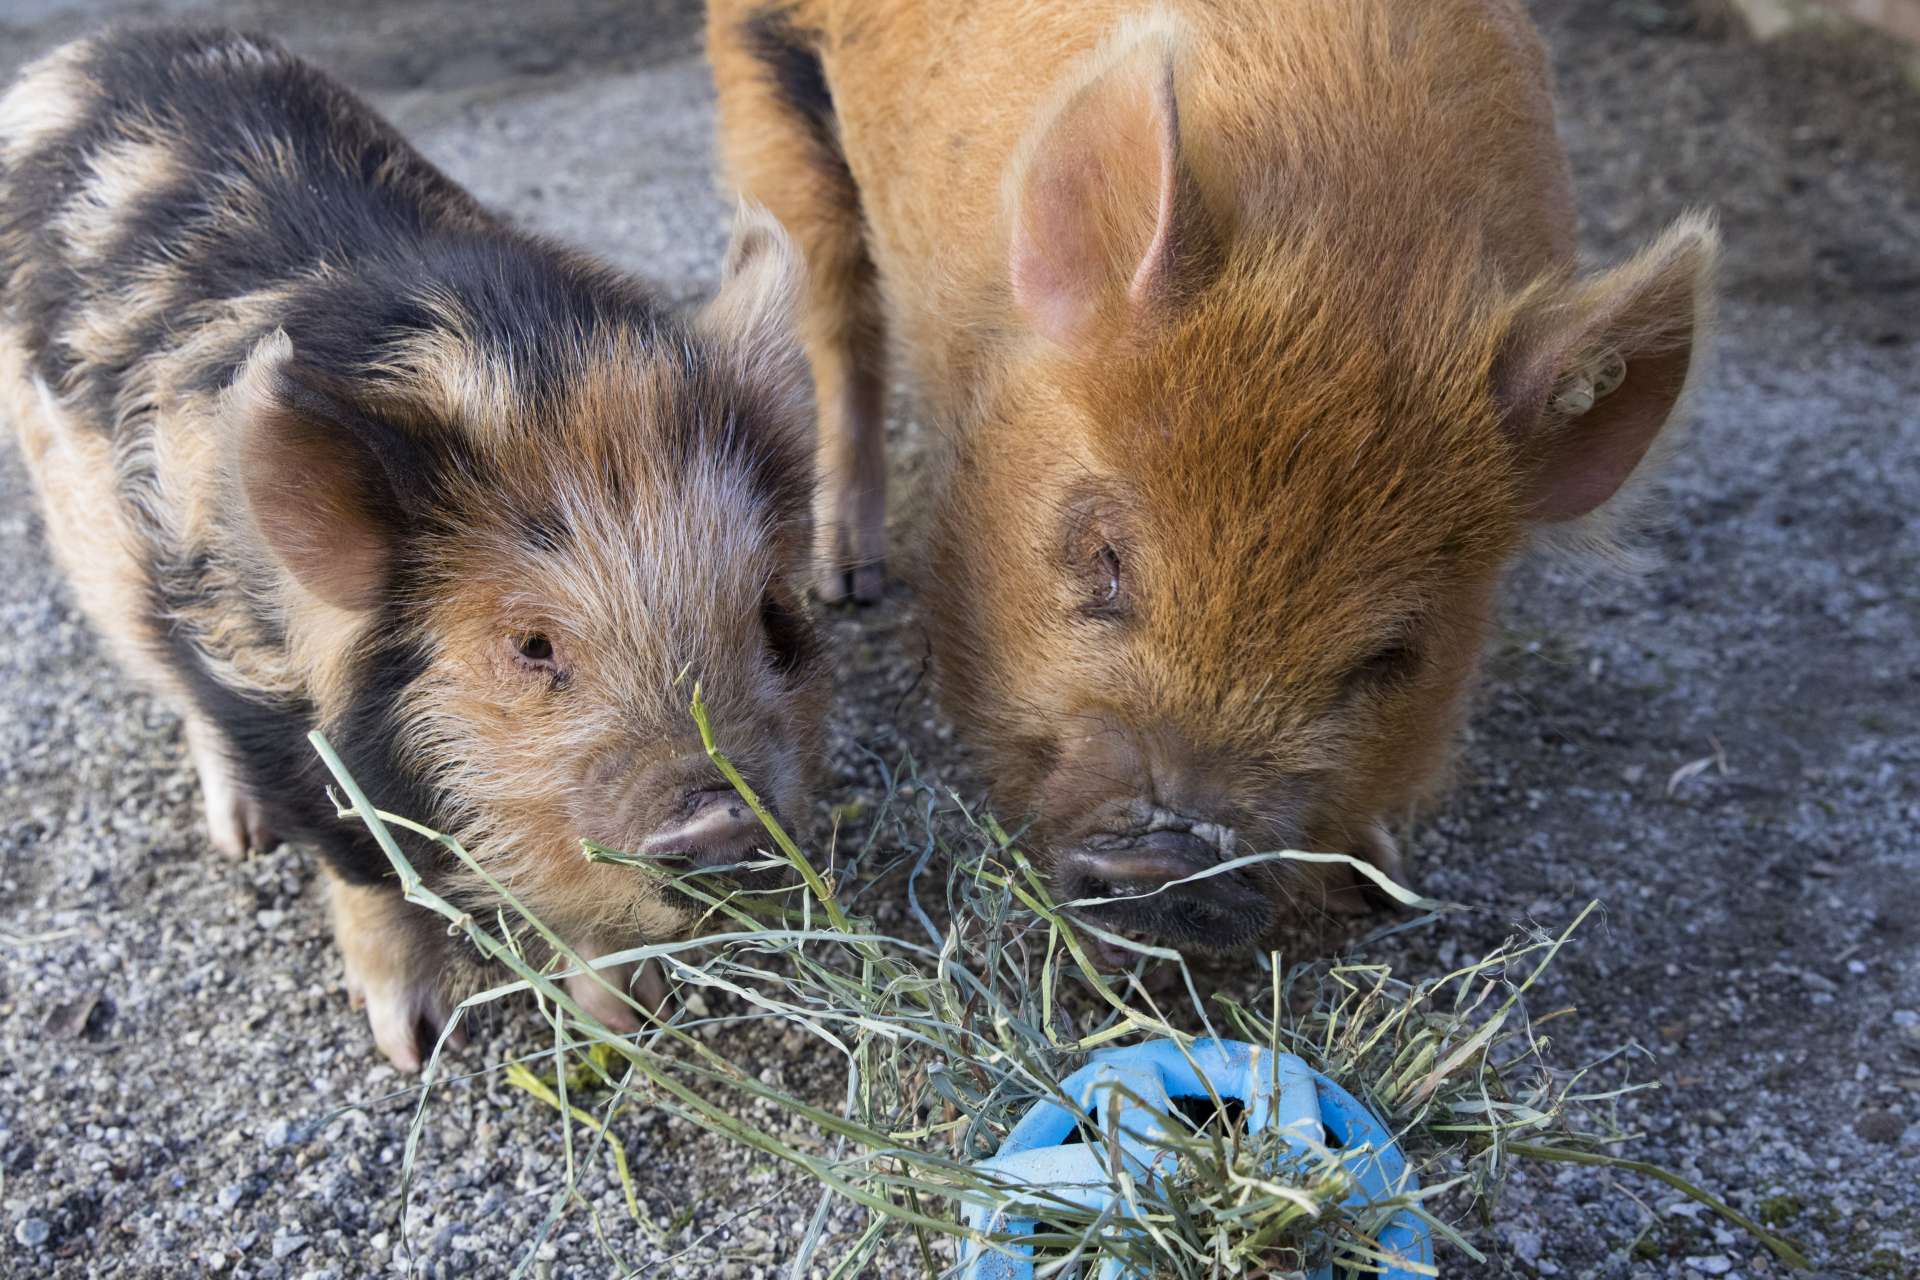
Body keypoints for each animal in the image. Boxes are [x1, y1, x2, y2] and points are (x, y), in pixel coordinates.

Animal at [0, 27, 825, 1068]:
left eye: (772, 614)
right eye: (531, 646)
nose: (720, 812)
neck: (523, 368)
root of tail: (83, 47)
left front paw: (633, 1022)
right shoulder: (272, 706)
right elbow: (365, 875)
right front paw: (412, 1045)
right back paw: (242, 840)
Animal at [707, 0, 1715, 950]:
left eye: (1393, 655)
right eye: (1106, 560)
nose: (1172, 858)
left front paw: (1376, 877)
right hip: (767, 83)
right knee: (836, 317)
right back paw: (849, 580)